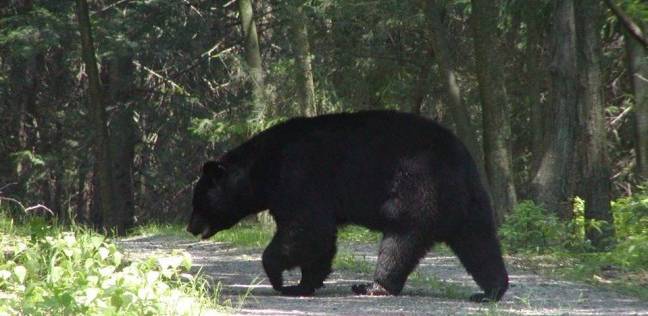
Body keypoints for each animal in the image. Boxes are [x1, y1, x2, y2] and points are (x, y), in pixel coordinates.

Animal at [185, 110, 508, 302]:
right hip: (470, 205)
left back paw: (373, 286)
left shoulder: (299, 174)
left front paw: (279, 279)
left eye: (198, 201)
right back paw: (491, 291)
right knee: (479, 244)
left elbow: (307, 226)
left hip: (417, 191)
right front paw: (305, 284)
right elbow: (320, 238)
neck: (261, 168)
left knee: (400, 242)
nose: (190, 227)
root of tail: (462, 163)